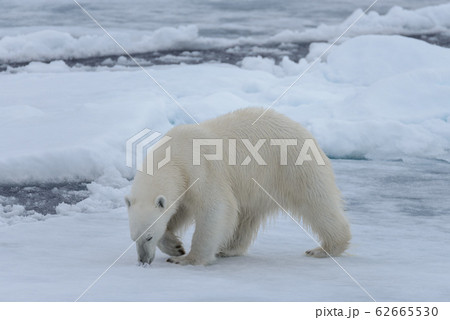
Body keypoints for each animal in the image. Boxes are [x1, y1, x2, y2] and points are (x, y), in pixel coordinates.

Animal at [125, 107, 352, 264]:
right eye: (134, 238)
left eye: (149, 237)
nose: (143, 261)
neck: (173, 156)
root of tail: (305, 131)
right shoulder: (185, 185)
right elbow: (179, 212)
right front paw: (175, 246)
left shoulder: (201, 170)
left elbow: (216, 208)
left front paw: (186, 258)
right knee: (246, 216)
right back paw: (228, 248)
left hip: (293, 166)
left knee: (316, 203)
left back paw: (324, 248)